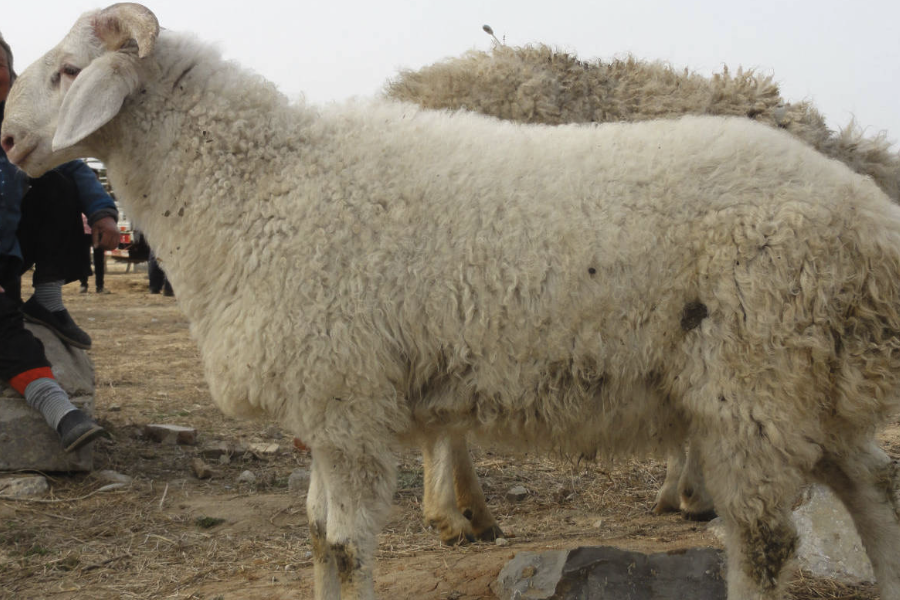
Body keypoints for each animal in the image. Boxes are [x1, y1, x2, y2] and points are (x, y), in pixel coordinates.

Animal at [5, 5, 900, 600]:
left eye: (69, 72)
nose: (9, 142)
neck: (263, 183)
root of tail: (863, 213)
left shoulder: (345, 402)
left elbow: (344, 546)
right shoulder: (326, 405)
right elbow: (317, 539)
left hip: (752, 383)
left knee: (766, 542)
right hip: (802, 387)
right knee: (874, 493)